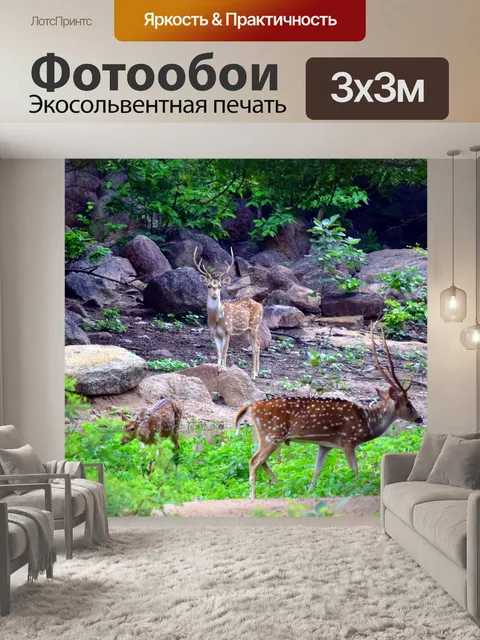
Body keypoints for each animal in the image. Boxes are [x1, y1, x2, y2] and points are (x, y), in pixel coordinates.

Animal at [193, 246, 264, 379]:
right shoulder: (215, 333)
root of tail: (261, 306)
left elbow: (225, 352)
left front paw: (225, 370)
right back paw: (257, 372)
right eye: (209, 286)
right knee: (257, 344)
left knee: (256, 347)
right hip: (247, 331)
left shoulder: (228, 330)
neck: (217, 319)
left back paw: (253, 374)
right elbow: (219, 352)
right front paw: (216, 369)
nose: (215, 296)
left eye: (220, 286)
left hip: (254, 325)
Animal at [235, 323, 423, 499]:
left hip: (266, 436)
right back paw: (254, 496)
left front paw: (309, 492)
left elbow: (317, 470)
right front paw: (357, 490)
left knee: (261, 461)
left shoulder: (324, 444)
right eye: (408, 404)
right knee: (254, 461)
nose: (419, 418)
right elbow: (355, 469)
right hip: (272, 434)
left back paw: (279, 485)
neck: (367, 423)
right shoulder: (348, 440)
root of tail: (251, 407)